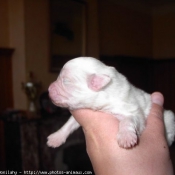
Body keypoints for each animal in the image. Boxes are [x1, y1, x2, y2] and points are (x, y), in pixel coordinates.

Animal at [46, 56, 175, 148]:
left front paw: (126, 137)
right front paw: (56, 138)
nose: (48, 89)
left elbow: (128, 120)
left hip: (169, 118)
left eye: (66, 81)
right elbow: (69, 124)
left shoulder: (133, 111)